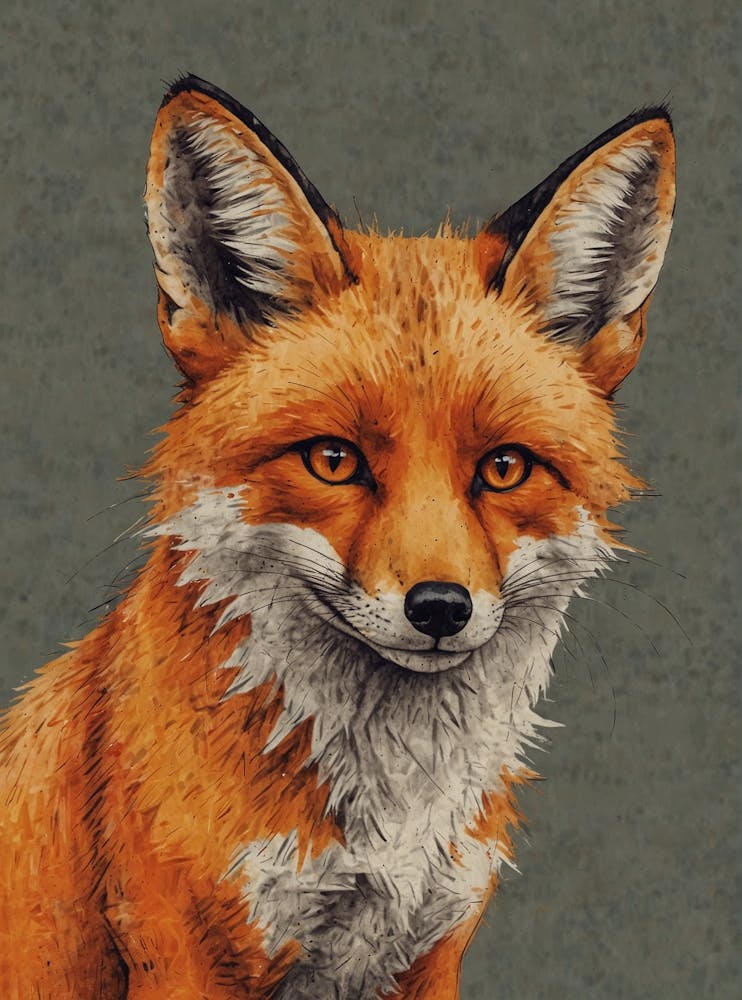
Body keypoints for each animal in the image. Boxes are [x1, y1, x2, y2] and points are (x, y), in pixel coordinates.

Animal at [0, 75, 675, 999]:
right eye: (333, 460)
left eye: (503, 468)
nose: (440, 609)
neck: (388, 818)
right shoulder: (182, 952)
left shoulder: (428, 953)